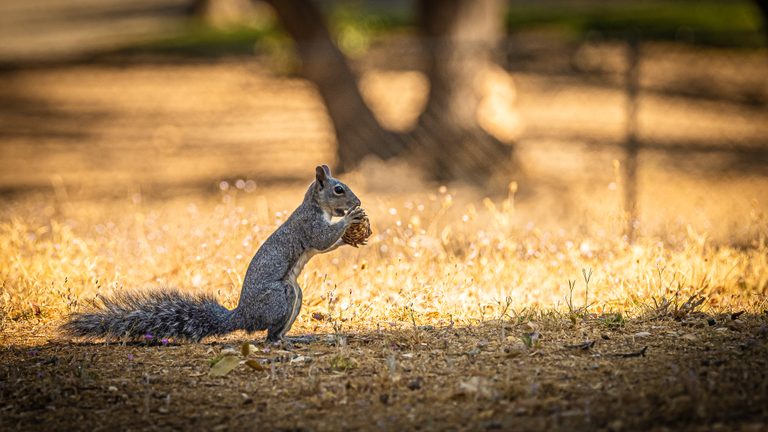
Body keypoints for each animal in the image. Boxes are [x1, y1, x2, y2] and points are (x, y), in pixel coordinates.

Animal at [63, 165, 366, 343]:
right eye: (338, 189)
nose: (358, 201)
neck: (316, 206)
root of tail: (241, 316)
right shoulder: (309, 225)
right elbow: (322, 238)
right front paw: (350, 219)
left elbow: (327, 244)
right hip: (281, 295)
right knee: (268, 334)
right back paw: (285, 340)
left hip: (295, 294)